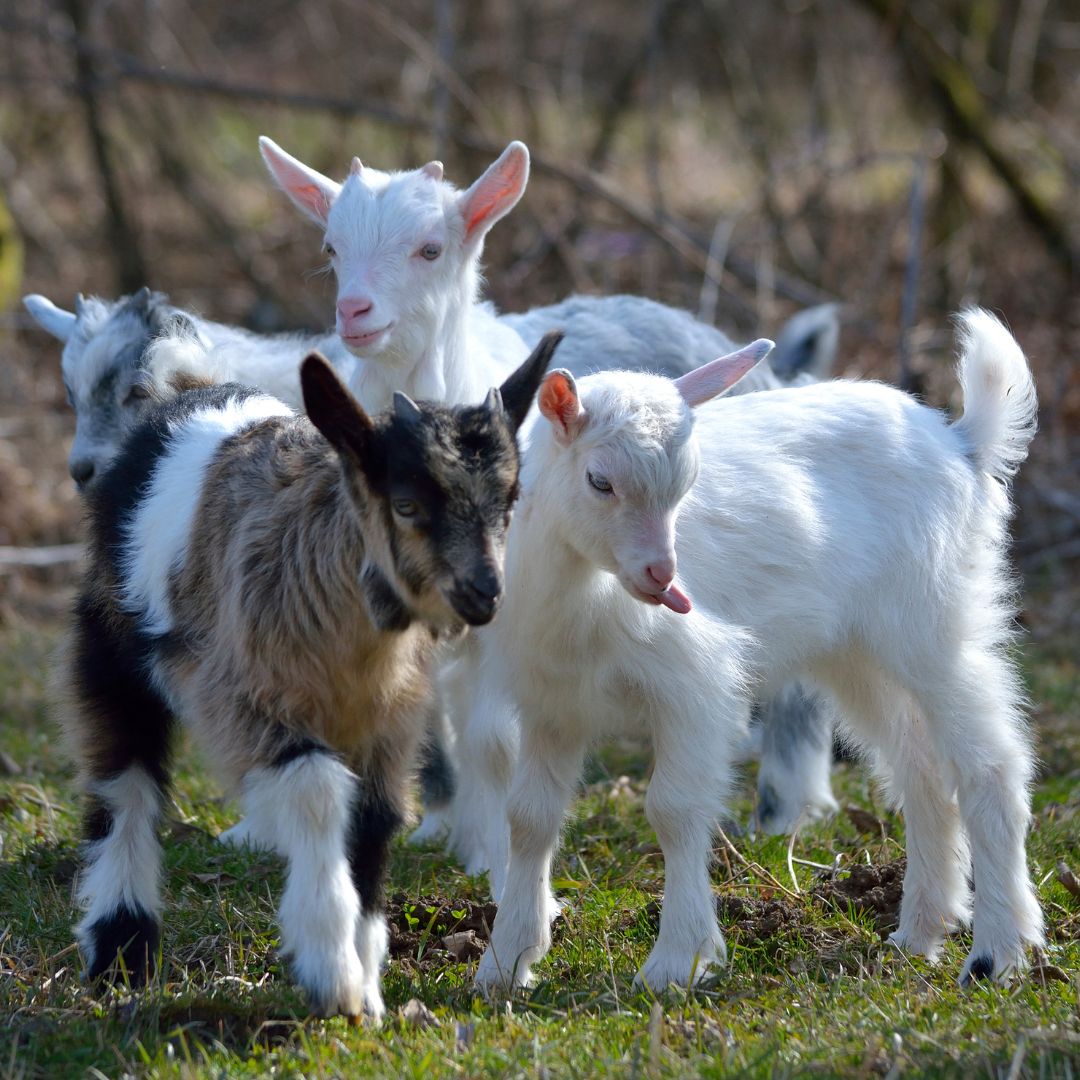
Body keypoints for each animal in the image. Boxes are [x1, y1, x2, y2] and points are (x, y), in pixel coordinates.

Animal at [475, 308, 1045, 989]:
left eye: (688, 483)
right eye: (599, 481)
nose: (663, 578)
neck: (585, 592)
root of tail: (962, 442)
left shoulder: (695, 684)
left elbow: (673, 809)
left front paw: (678, 962)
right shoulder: (551, 703)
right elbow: (529, 818)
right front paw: (505, 963)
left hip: (937, 622)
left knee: (990, 765)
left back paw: (997, 953)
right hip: (857, 654)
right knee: (921, 771)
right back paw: (919, 933)